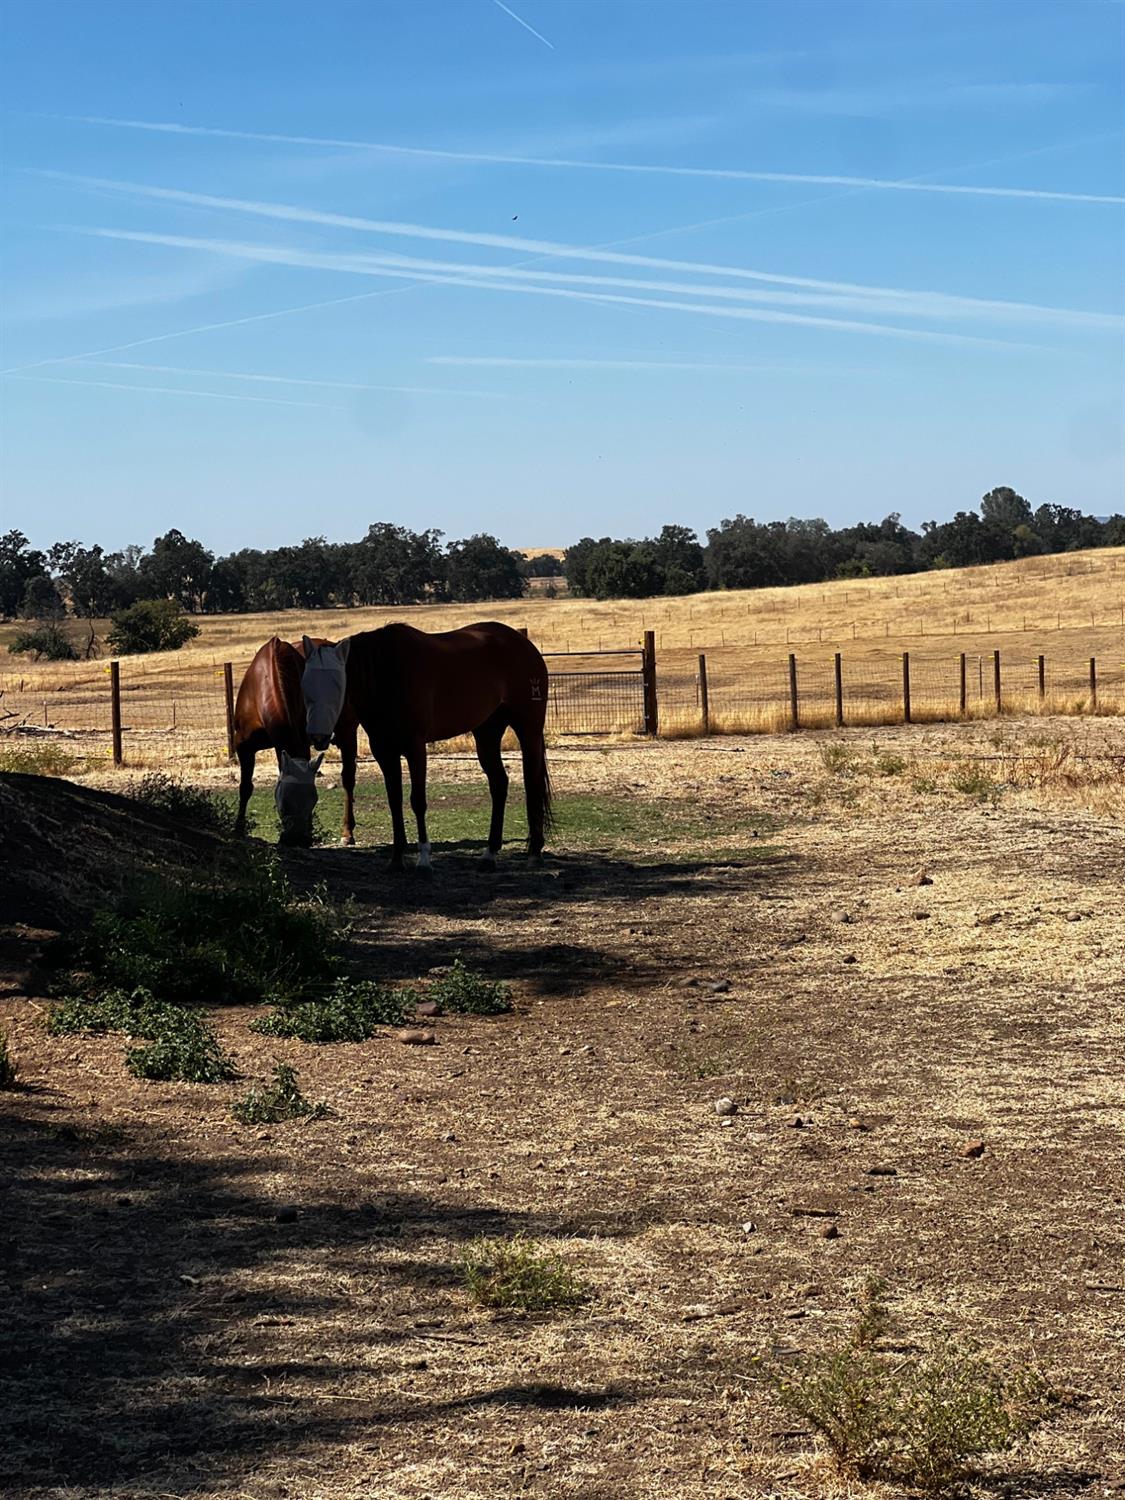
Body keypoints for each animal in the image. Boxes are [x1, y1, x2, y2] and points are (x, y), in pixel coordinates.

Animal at [234, 633, 361, 846]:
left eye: (313, 800)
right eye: (284, 802)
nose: (298, 840)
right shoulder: (244, 746)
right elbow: (245, 787)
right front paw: (238, 829)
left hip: (347, 733)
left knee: (348, 779)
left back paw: (347, 832)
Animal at [300, 621, 555, 876]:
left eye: (337, 684)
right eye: (306, 685)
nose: (318, 737)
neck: (387, 674)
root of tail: (525, 645)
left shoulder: (415, 748)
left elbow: (417, 801)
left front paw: (423, 860)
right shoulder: (384, 751)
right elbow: (394, 801)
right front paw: (396, 859)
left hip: (528, 730)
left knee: (532, 783)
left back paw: (534, 853)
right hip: (487, 732)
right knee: (499, 784)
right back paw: (489, 854)